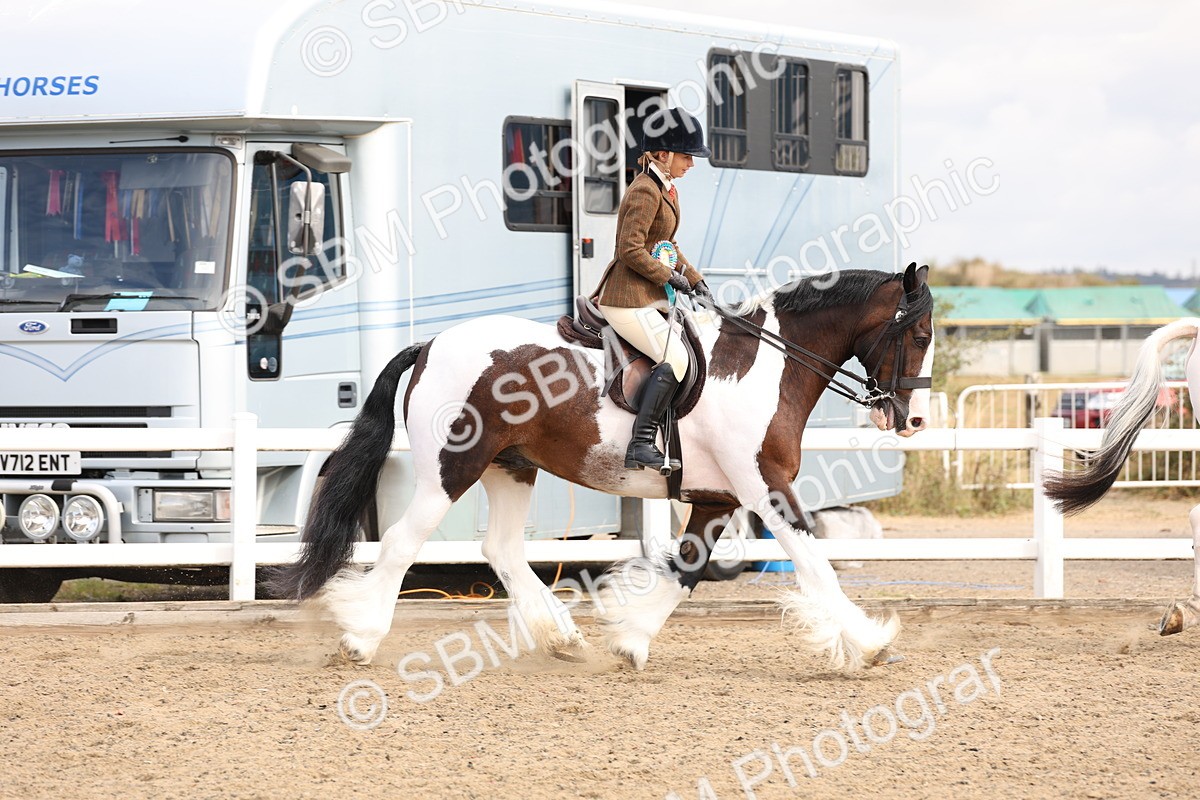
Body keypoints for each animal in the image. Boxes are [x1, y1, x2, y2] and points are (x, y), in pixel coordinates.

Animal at [271, 263, 936, 672]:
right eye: (922, 335)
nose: (912, 420)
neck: (764, 367)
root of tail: (430, 345)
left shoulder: (717, 498)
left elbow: (687, 570)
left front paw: (631, 640)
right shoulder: (763, 486)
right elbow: (815, 565)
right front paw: (870, 644)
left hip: (511, 467)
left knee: (501, 549)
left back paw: (561, 637)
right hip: (450, 470)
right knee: (404, 543)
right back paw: (360, 638)